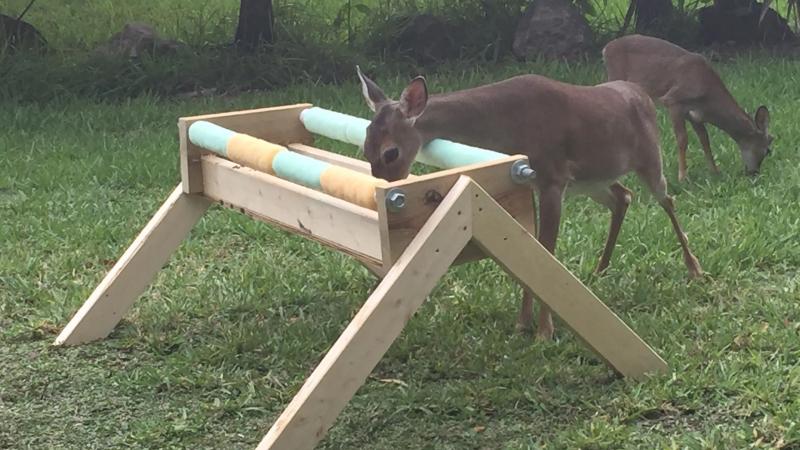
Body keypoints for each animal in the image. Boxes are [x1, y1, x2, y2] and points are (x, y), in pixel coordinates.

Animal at [356, 67, 700, 340]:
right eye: (365, 147)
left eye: (390, 153)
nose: (381, 187)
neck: (505, 126)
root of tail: (642, 95)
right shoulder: (533, 182)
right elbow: (531, 247)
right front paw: (523, 323)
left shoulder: (552, 178)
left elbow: (546, 250)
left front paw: (543, 330)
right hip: (592, 180)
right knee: (622, 196)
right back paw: (600, 270)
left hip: (649, 159)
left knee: (667, 199)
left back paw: (694, 267)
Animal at [604, 33, 772, 181]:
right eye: (767, 150)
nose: (754, 173)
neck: (707, 92)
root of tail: (606, 48)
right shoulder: (673, 101)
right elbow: (682, 139)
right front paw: (682, 177)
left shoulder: (694, 114)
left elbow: (704, 138)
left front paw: (715, 171)